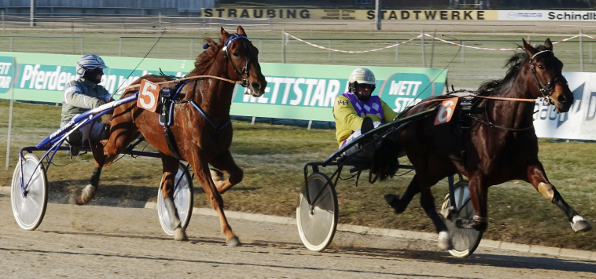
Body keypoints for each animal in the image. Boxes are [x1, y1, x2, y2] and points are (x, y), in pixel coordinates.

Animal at [79, 26, 268, 247]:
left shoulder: (219, 153)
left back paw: (177, 227)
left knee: (166, 188)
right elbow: (213, 195)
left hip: (166, 151)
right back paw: (88, 191)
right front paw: (230, 234)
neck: (204, 103)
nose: (259, 84)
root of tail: (133, 86)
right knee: (101, 149)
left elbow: (237, 175)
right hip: (120, 137)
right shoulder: (197, 156)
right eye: (236, 53)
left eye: (255, 51)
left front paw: (220, 184)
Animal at [382, 38, 592, 249]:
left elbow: (549, 189)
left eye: (560, 65)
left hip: (439, 165)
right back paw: (444, 235)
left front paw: (578, 219)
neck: (504, 125)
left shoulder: (529, 165)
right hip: (421, 158)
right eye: (541, 66)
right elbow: (479, 221)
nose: (566, 98)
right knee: (425, 198)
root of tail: (412, 109)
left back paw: (395, 201)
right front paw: (453, 214)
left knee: (413, 190)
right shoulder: (477, 177)